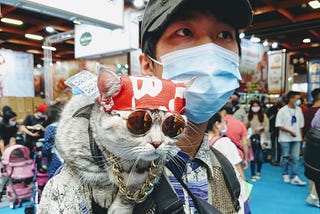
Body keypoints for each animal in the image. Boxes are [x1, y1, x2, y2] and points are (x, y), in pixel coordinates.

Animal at [38, 69, 188, 214]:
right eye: (139, 121)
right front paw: (104, 194)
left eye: (173, 124)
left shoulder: (152, 170)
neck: (127, 161)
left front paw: (121, 208)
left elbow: (132, 191)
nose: (157, 142)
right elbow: (98, 174)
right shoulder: (73, 146)